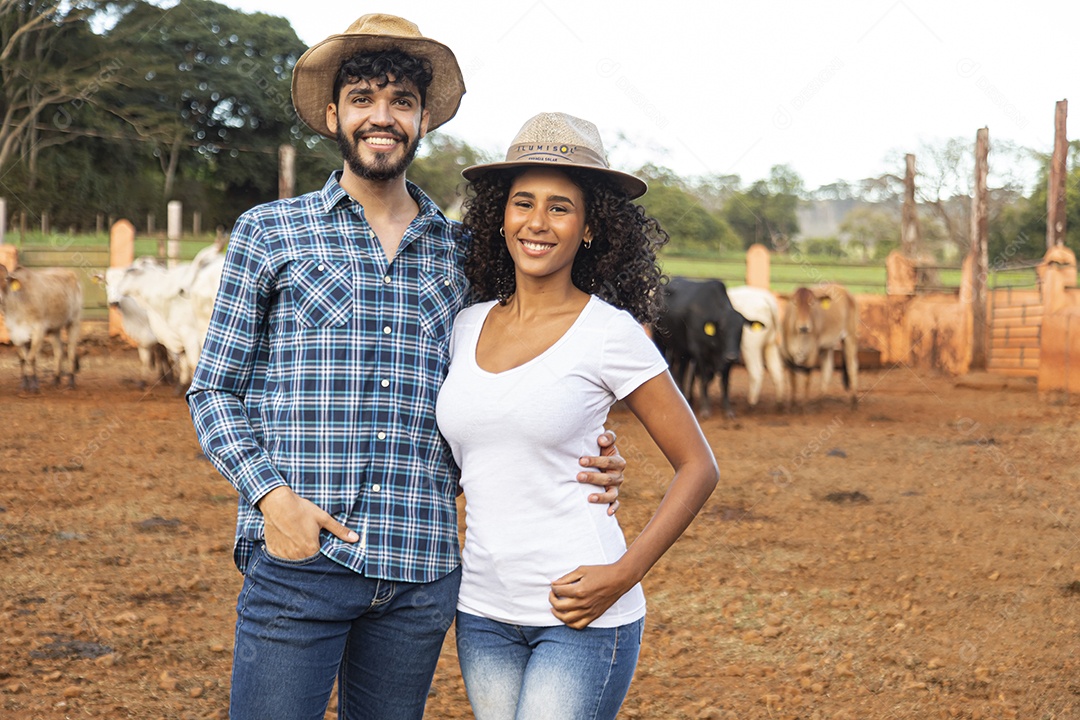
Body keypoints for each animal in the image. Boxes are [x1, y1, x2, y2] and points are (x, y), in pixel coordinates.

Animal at [652, 278, 747, 418]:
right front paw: (705, 408)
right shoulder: (699, 352)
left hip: (682, 351)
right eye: (722, 329)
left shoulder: (726, 357)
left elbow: (724, 382)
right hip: (661, 343)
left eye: (741, 330)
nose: (732, 356)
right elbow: (704, 379)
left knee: (682, 372)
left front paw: (728, 409)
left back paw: (687, 397)